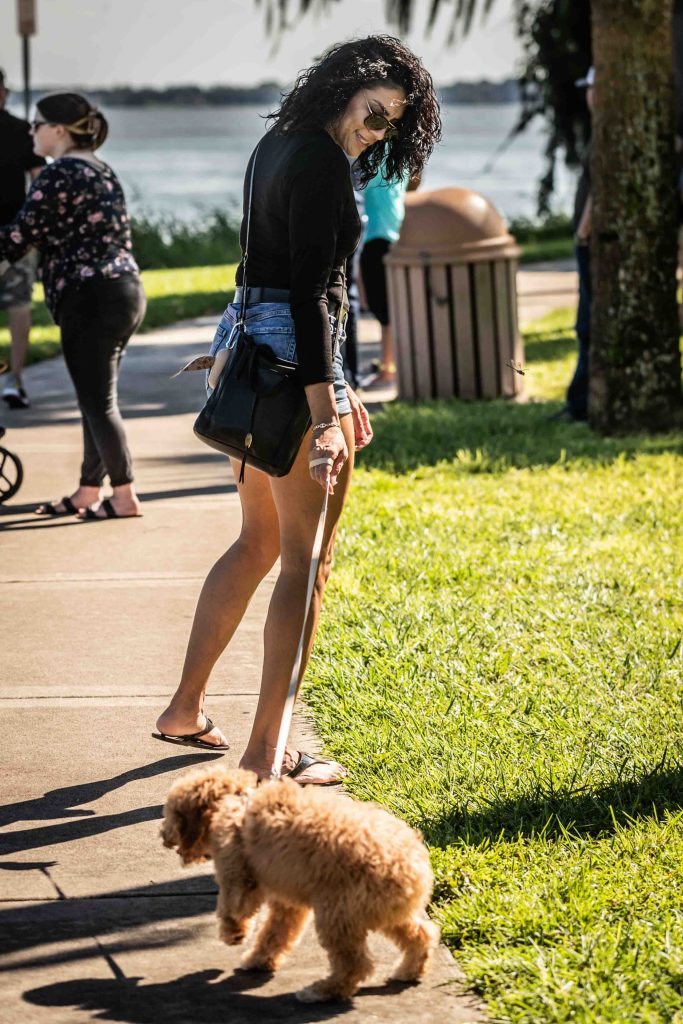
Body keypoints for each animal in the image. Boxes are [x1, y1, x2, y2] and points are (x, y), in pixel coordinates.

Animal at [161, 764, 439, 1002]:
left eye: (172, 814)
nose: (163, 836)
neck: (235, 802)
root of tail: (412, 867)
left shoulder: (237, 872)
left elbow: (234, 906)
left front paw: (234, 934)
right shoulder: (287, 902)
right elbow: (275, 933)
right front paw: (259, 960)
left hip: (337, 913)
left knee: (354, 964)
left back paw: (323, 991)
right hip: (383, 912)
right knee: (421, 934)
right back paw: (409, 970)